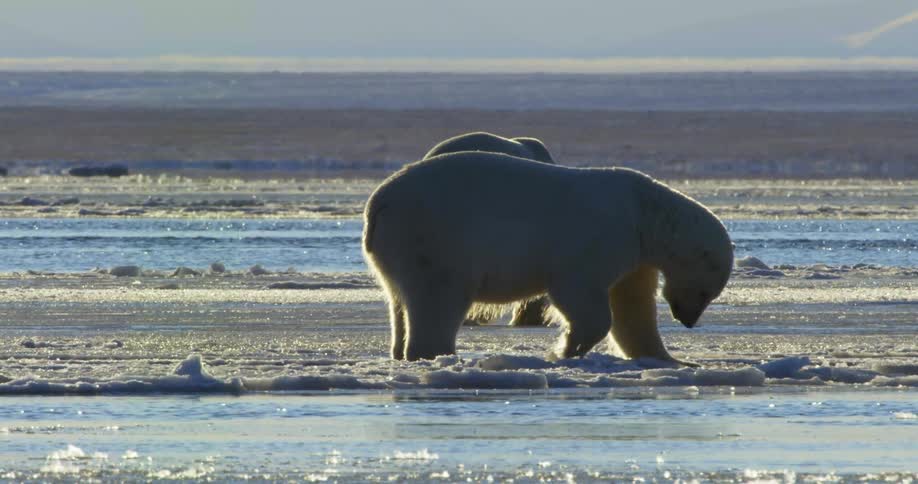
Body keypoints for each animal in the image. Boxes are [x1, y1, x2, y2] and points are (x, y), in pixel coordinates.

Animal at [363, 152, 733, 363]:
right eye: (706, 291)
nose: (688, 319)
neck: (645, 214)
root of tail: (379, 204)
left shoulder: (636, 256)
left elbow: (633, 306)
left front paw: (671, 360)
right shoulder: (602, 237)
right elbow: (580, 296)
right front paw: (565, 350)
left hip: (396, 250)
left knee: (399, 300)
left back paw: (402, 351)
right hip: (435, 238)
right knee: (438, 297)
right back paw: (438, 354)